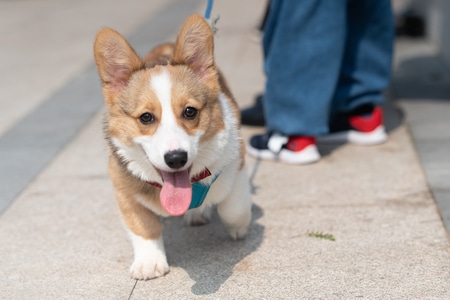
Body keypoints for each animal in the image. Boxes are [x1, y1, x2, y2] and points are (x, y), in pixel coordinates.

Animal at [94, 14, 253, 282]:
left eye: (190, 111)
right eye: (146, 117)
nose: (176, 158)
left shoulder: (236, 161)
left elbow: (233, 207)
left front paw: (240, 227)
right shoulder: (123, 189)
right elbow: (143, 226)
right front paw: (149, 263)